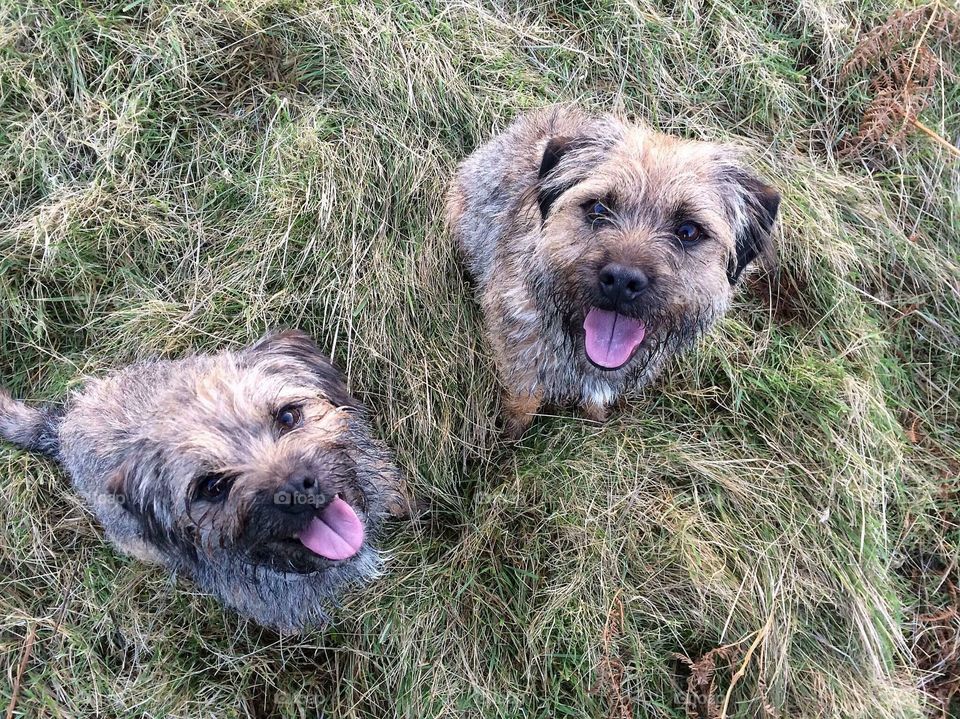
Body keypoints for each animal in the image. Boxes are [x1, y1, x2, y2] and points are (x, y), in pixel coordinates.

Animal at [448, 107, 780, 438]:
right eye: (597, 208)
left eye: (688, 231)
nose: (622, 280)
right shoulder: (520, 359)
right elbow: (523, 399)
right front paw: (512, 434)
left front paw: (595, 419)